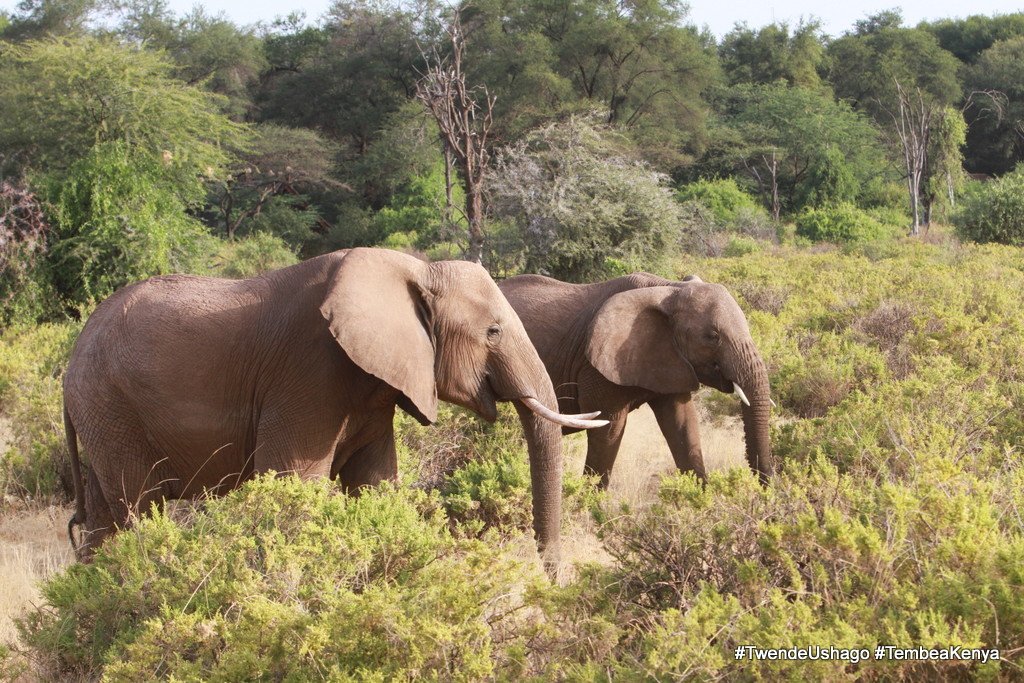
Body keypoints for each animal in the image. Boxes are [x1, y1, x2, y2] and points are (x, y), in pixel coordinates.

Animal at [66, 248, 606, 569]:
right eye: (492, 331)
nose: (550, 575)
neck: (414, 269)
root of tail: (70, 363)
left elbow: (374, 482)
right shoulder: (308, 374)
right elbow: (294, 483)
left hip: (103, 418)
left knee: (103, 517)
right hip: (112, 409)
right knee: (137, 507)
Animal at [497, 270, 774, 489]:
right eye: (712, 336)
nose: (765, 490)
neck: (669, 289)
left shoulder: (669, 359)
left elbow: (683, 423)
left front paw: (701, 499)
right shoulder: (596, 369)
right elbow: (608, 431)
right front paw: (590, 505)